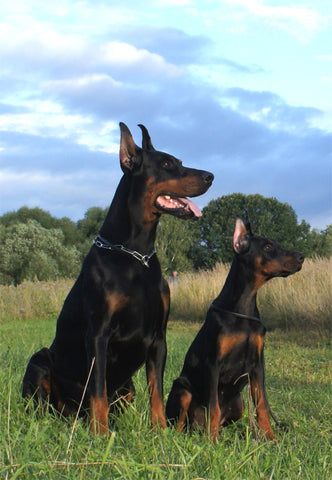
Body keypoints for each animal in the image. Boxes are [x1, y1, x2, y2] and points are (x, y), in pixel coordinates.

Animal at [22, 122, 213, 434]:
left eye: (179, 161)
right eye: (166, 164)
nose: (210, 176)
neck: (136, 254)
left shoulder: (158, 338)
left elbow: (157, 390)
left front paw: (160, 430)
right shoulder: (98, 335)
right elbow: (97, 388)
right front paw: (100, 433)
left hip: (128, 387)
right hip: (40, 361)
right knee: (45, 404)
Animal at [166, 217, 304, 438]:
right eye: (267, 247)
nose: (302, 257)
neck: (243, 307)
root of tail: (195, 427)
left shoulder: (257, 364)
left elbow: (262, 404)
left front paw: (270, 437)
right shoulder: (213, 364)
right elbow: (213, 406)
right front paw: (212, 441)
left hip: (239, 404)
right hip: (182, 388)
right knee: (182, 420)